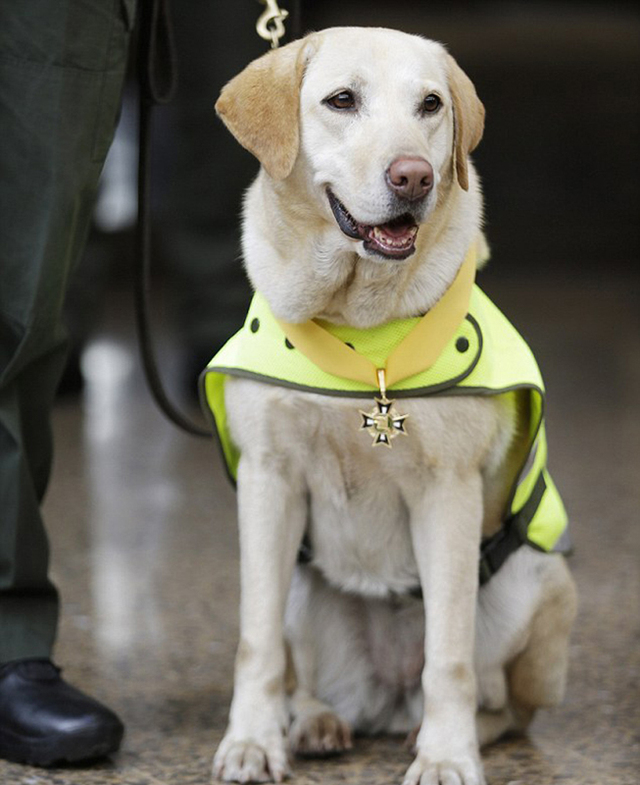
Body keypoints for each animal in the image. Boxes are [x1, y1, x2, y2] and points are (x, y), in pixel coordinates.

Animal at [209, 26, 576, 784]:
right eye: (341, 100)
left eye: (430, 105)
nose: (414, 176)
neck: (359, 328)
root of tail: (384, 696)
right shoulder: (267, 479)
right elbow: (256, 641)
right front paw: (252, 740)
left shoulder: (448, 492)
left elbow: (450, 657)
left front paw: (447, 755)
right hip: (300, 581)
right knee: (302, 672)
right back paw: (314, 720)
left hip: (536, 579)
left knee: (505, 704)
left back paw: (435, 732)